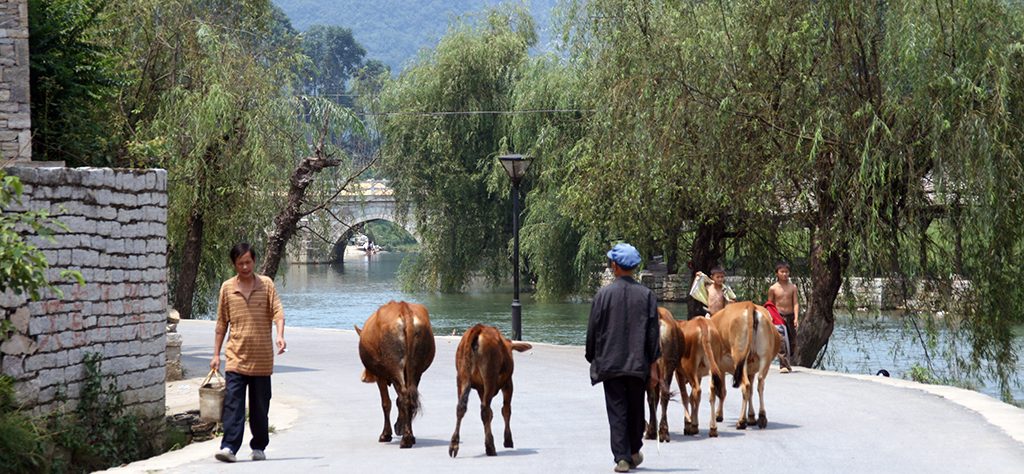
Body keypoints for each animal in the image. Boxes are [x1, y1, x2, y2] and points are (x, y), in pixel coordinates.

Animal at [354, 300, 434, 448]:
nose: (364, 378)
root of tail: (404, 309)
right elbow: (397, 401)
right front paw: (400, 426)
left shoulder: (381, 376)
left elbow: (386, 403)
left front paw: (386, 434)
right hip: (416, 369)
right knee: (409, 397)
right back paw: (409, 436)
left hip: (395, 366)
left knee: (403, 397)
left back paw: (406, 439)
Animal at [448, 325, 532, 458]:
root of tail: (478, 328)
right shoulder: (508, 383)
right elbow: (506, 410)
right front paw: (508, 440)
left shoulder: (480, 388)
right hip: (489, 377)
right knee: (485, 410)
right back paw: (490, 447)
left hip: (462, 376)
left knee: (461, 407)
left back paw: (454, 445)